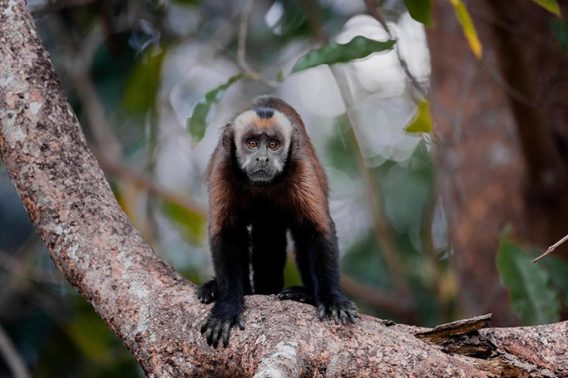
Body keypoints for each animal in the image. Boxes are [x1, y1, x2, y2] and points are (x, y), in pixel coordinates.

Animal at [199, 96, 356, 346]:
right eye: (252, 143)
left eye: (273, 145)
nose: (262, 158)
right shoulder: (223, 168)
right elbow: (225, 233)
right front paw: (227, 308)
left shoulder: (301, 168)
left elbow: (318, 230)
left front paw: (333, 299)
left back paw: (306, 295)